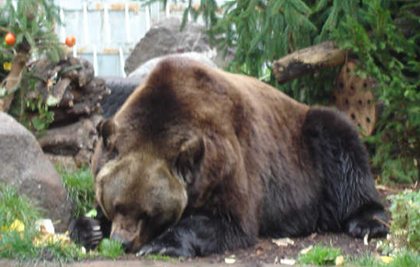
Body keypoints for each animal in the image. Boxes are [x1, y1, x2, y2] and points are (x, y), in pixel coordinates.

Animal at [69, 56, 388, 258]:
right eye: (116, 204)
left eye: (148, 213)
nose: (122, 241)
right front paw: (90, 229)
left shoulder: (227, 162)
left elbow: (229, 221)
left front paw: (162, 244)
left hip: (309, 142)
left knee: (341, 140)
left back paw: (366, 221)